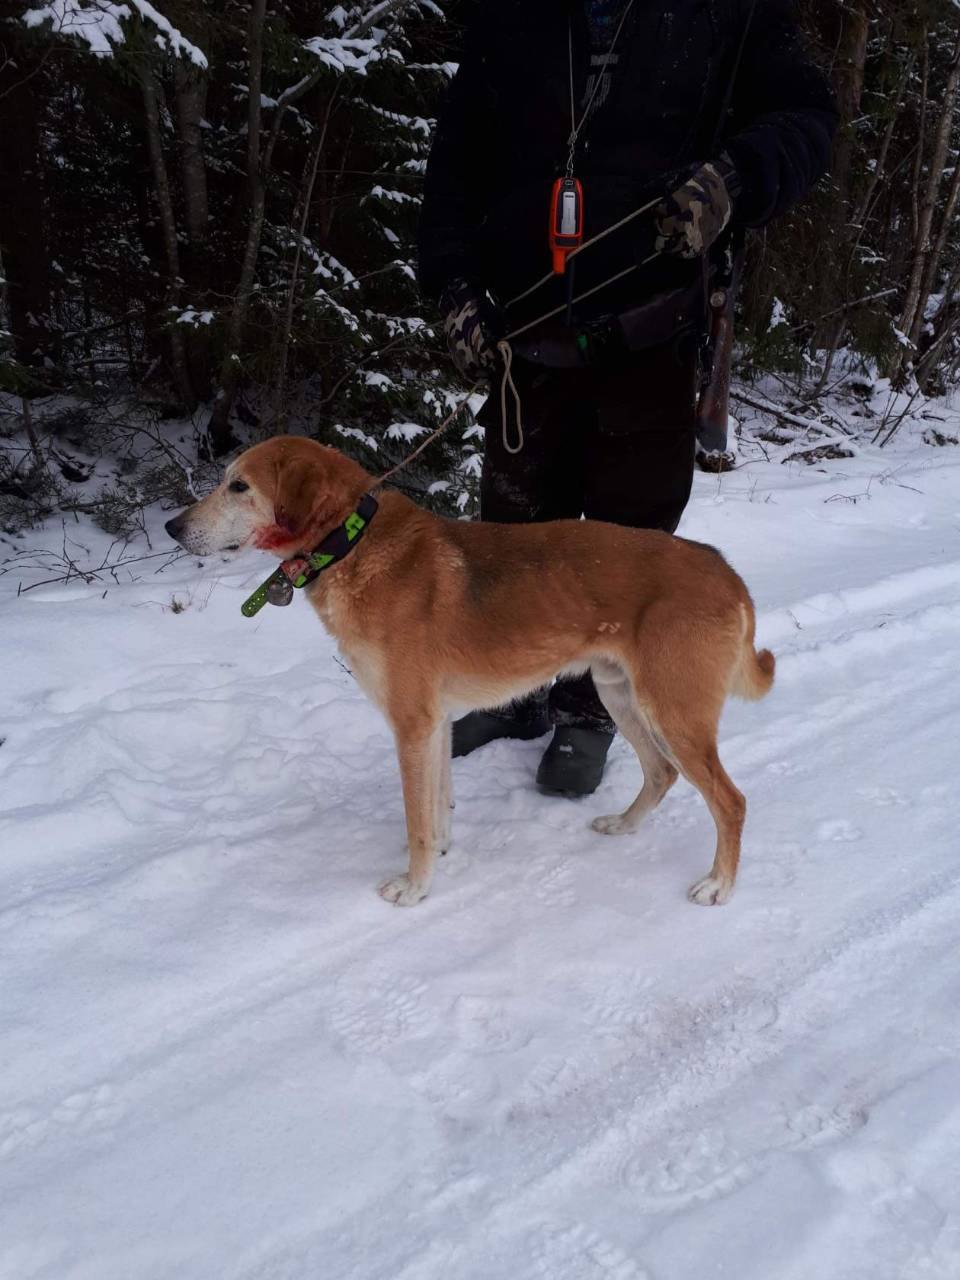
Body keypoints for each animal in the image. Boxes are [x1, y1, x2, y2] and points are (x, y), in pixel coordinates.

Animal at [167, 437, 773, 911]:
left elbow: (415, 820)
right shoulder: (435, 724)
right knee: (662, 773)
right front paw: (438, 855)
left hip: (673, 711)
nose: (173, 527)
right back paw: (624, 826)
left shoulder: (411, 724)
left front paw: (414, 889)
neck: (352, 541)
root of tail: (725, 570)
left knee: (732, 802)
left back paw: (719, 885)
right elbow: (436, 809)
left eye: (239, 486)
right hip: (618, 693)